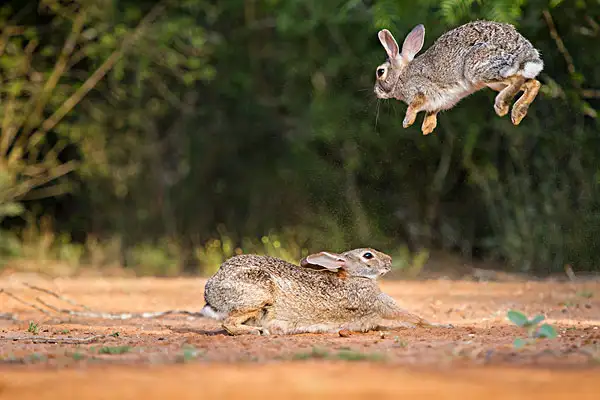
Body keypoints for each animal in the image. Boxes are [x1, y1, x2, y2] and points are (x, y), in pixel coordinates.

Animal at [202, 248, 450, 336]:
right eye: (368, 255)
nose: (389, 261)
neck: (355, 277)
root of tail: (210, 289)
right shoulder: (379, 302)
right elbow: (413, 317)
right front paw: (444, 325)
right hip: (259, 295)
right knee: (228, 323)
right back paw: (257, 332)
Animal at [376, 20, 544, 135]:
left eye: (380, 72)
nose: (376, 91)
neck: (400, 76)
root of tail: (525, 53)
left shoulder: (419, 88)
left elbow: (415, 105)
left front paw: (407, 122)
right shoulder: (438, 101)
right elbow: (432, 110)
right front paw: (427, 127)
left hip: (477, 68)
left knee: (517, 80)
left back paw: (501, 107)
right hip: (495, 81)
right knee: (533, 83)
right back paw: (518, 113)